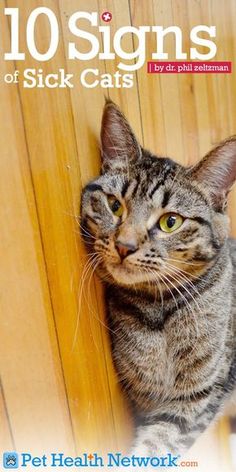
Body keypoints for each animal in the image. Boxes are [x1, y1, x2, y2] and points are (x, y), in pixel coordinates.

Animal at [81, 100, 236, 458]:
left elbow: (158, 445)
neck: (158, 311)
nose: (125, 246)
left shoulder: (195, 399)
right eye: (114, 205)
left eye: (170, 222)